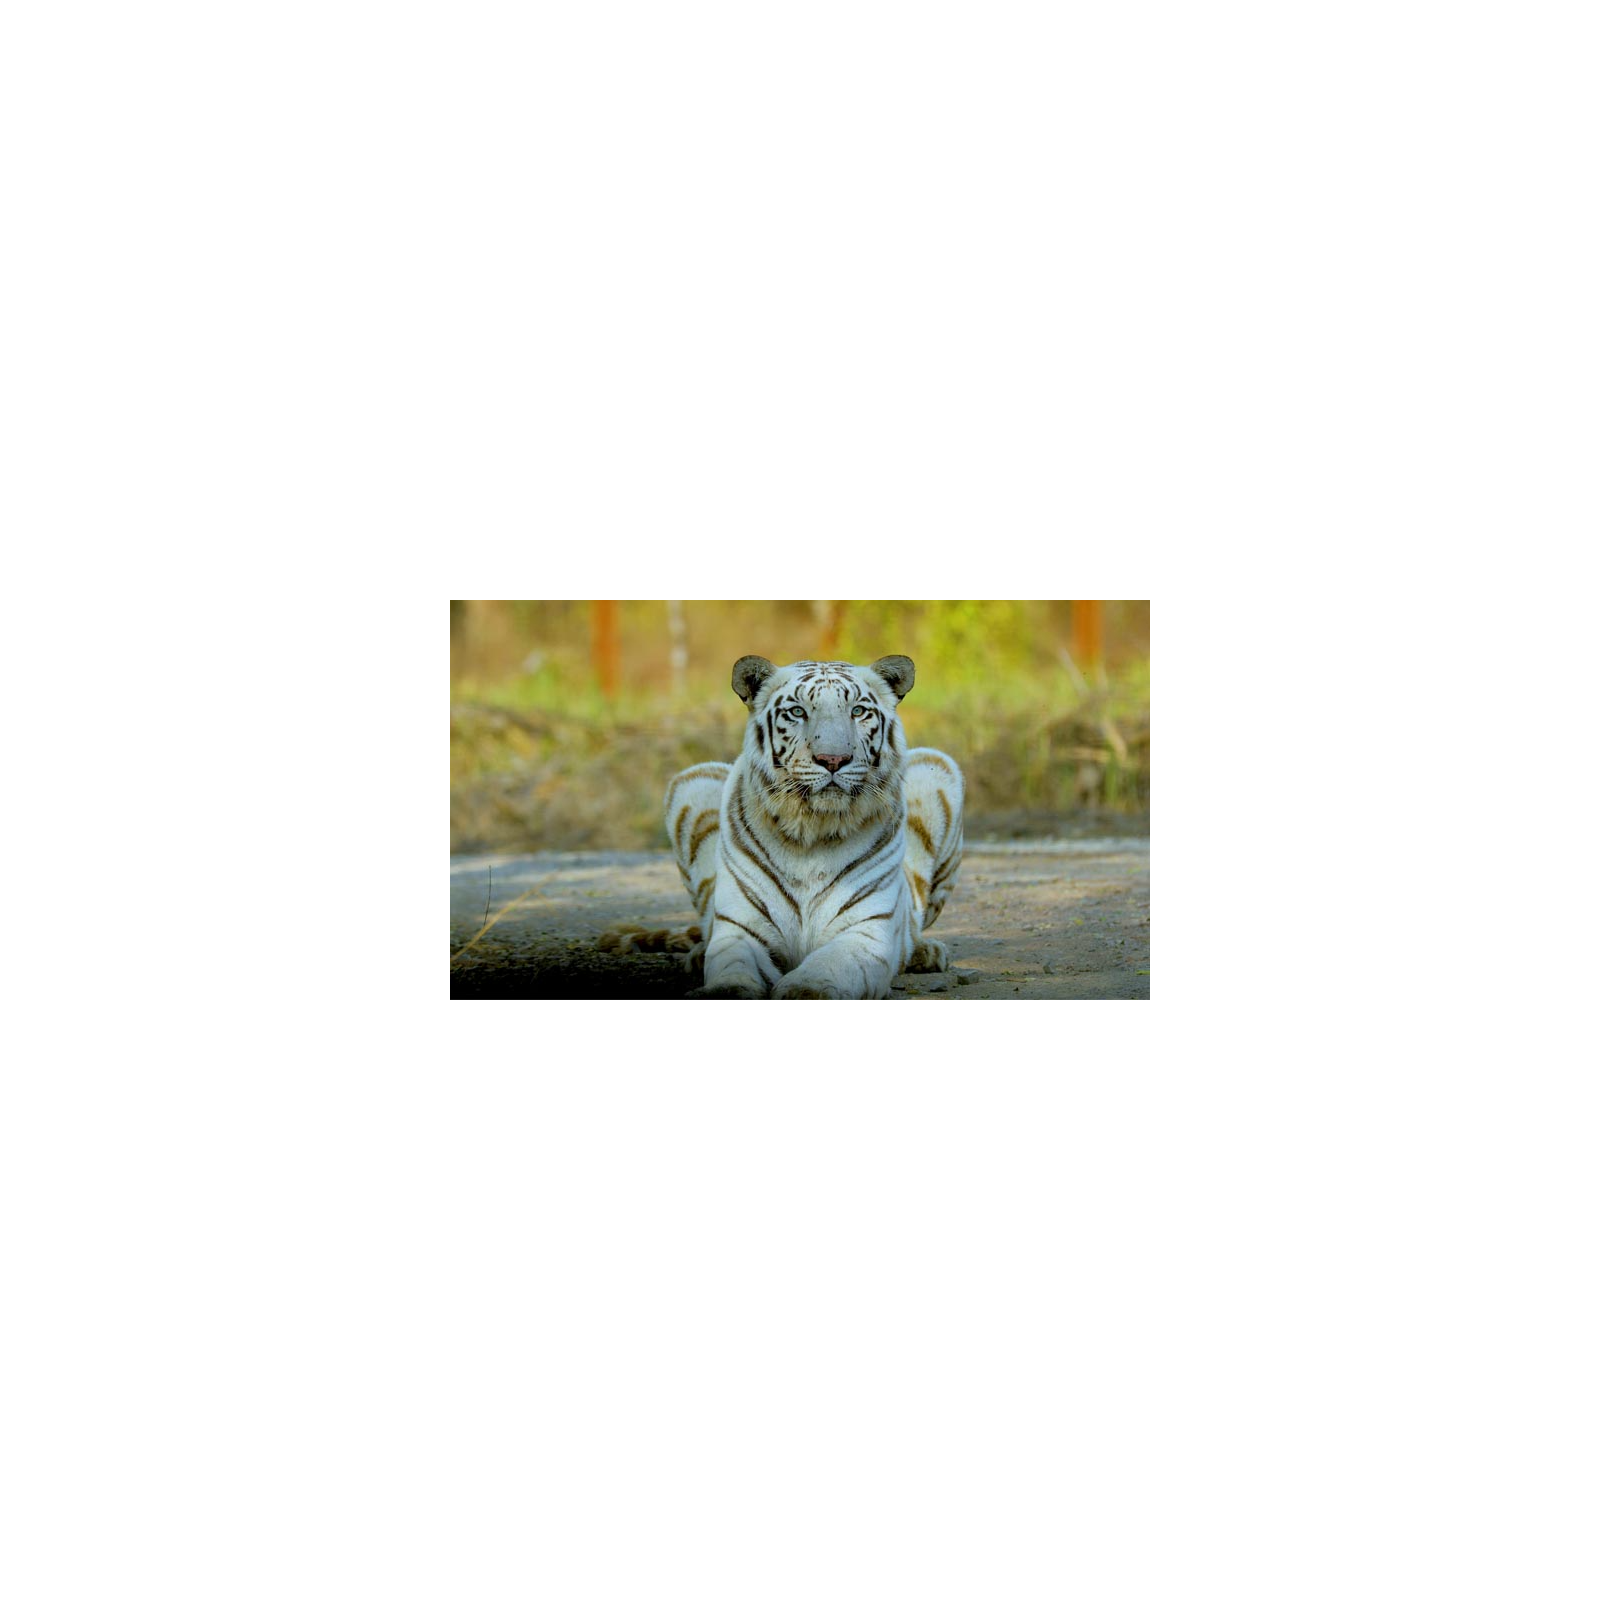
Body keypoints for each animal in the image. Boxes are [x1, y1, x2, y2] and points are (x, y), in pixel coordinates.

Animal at [609, 655, 963, 1000]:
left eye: (858, 711)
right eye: (797, 712)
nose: (833, 760)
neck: (812, 831)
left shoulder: (864, 932)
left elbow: (827, 968)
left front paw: (805, 988)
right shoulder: (742, 929)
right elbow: (732, 966)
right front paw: (724, 988)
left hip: (938, 767)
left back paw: (926, 952)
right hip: (693, 782)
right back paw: (697, 955)